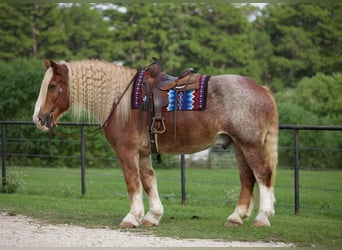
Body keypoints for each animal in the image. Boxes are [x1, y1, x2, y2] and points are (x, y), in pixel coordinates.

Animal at [32, 59, 278, 228]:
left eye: (52, 86)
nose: (38, 118)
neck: (121, 101)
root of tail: (263, 89)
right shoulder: (142, 153)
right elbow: (148, 180)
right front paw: (153, 215)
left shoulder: (127, 152)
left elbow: (133, 182)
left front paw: (132, 217)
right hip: (238, 145)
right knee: (247, 178)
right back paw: (236, 217)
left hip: (250, 145)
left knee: (262, 175)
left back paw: (262, 217)